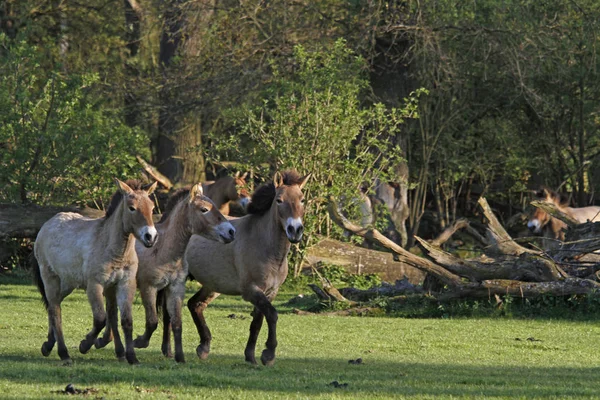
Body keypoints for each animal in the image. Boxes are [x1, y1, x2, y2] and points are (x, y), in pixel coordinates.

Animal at [31, 180, 158, 364]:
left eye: (152, 207)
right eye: (132, 208)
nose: (151, 236)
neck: (112, 249)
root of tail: (46, 225)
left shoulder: (125, 284)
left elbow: (126, 321)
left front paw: (132, 357)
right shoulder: (95, 285)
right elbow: (100, 319)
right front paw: (85, 344)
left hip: (67, 283)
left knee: (52, 306)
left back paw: (48, 345)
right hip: (50, 278)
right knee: (55, 311)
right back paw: (64, 354)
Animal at [95, 183, 236, 364]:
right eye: (204, 209)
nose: (231, 231)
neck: (164, 250)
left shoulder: (175, 288)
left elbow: (176, 322)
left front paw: (179, 357)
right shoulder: (149, 288)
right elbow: (153, 321)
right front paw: (139, 341)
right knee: (112, 313)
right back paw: (109, 344)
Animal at [182, 170, 310, 366]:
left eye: (302, 200)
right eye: (279, 200)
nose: (294, 230)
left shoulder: (270, 293)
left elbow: (257, 322)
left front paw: (250, 356)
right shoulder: (251, 291)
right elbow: (272, 315)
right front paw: (268, 354)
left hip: (212, 286)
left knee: (195, 305)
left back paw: (204, 347)